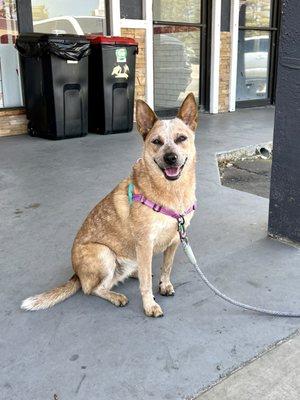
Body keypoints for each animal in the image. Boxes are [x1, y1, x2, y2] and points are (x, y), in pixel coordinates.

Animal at [21, 92, 199, 318]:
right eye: (156, 141)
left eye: (181, 138)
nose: (170, 158)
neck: (171, 192)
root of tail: (76, 274)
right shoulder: (145, 243)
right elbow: (145, 285)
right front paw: (149, 305)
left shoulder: (175, 240)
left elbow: (166, 268)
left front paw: (164, 285)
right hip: (104, 254)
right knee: (93, 288)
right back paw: (116, 296)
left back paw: (133, 274)